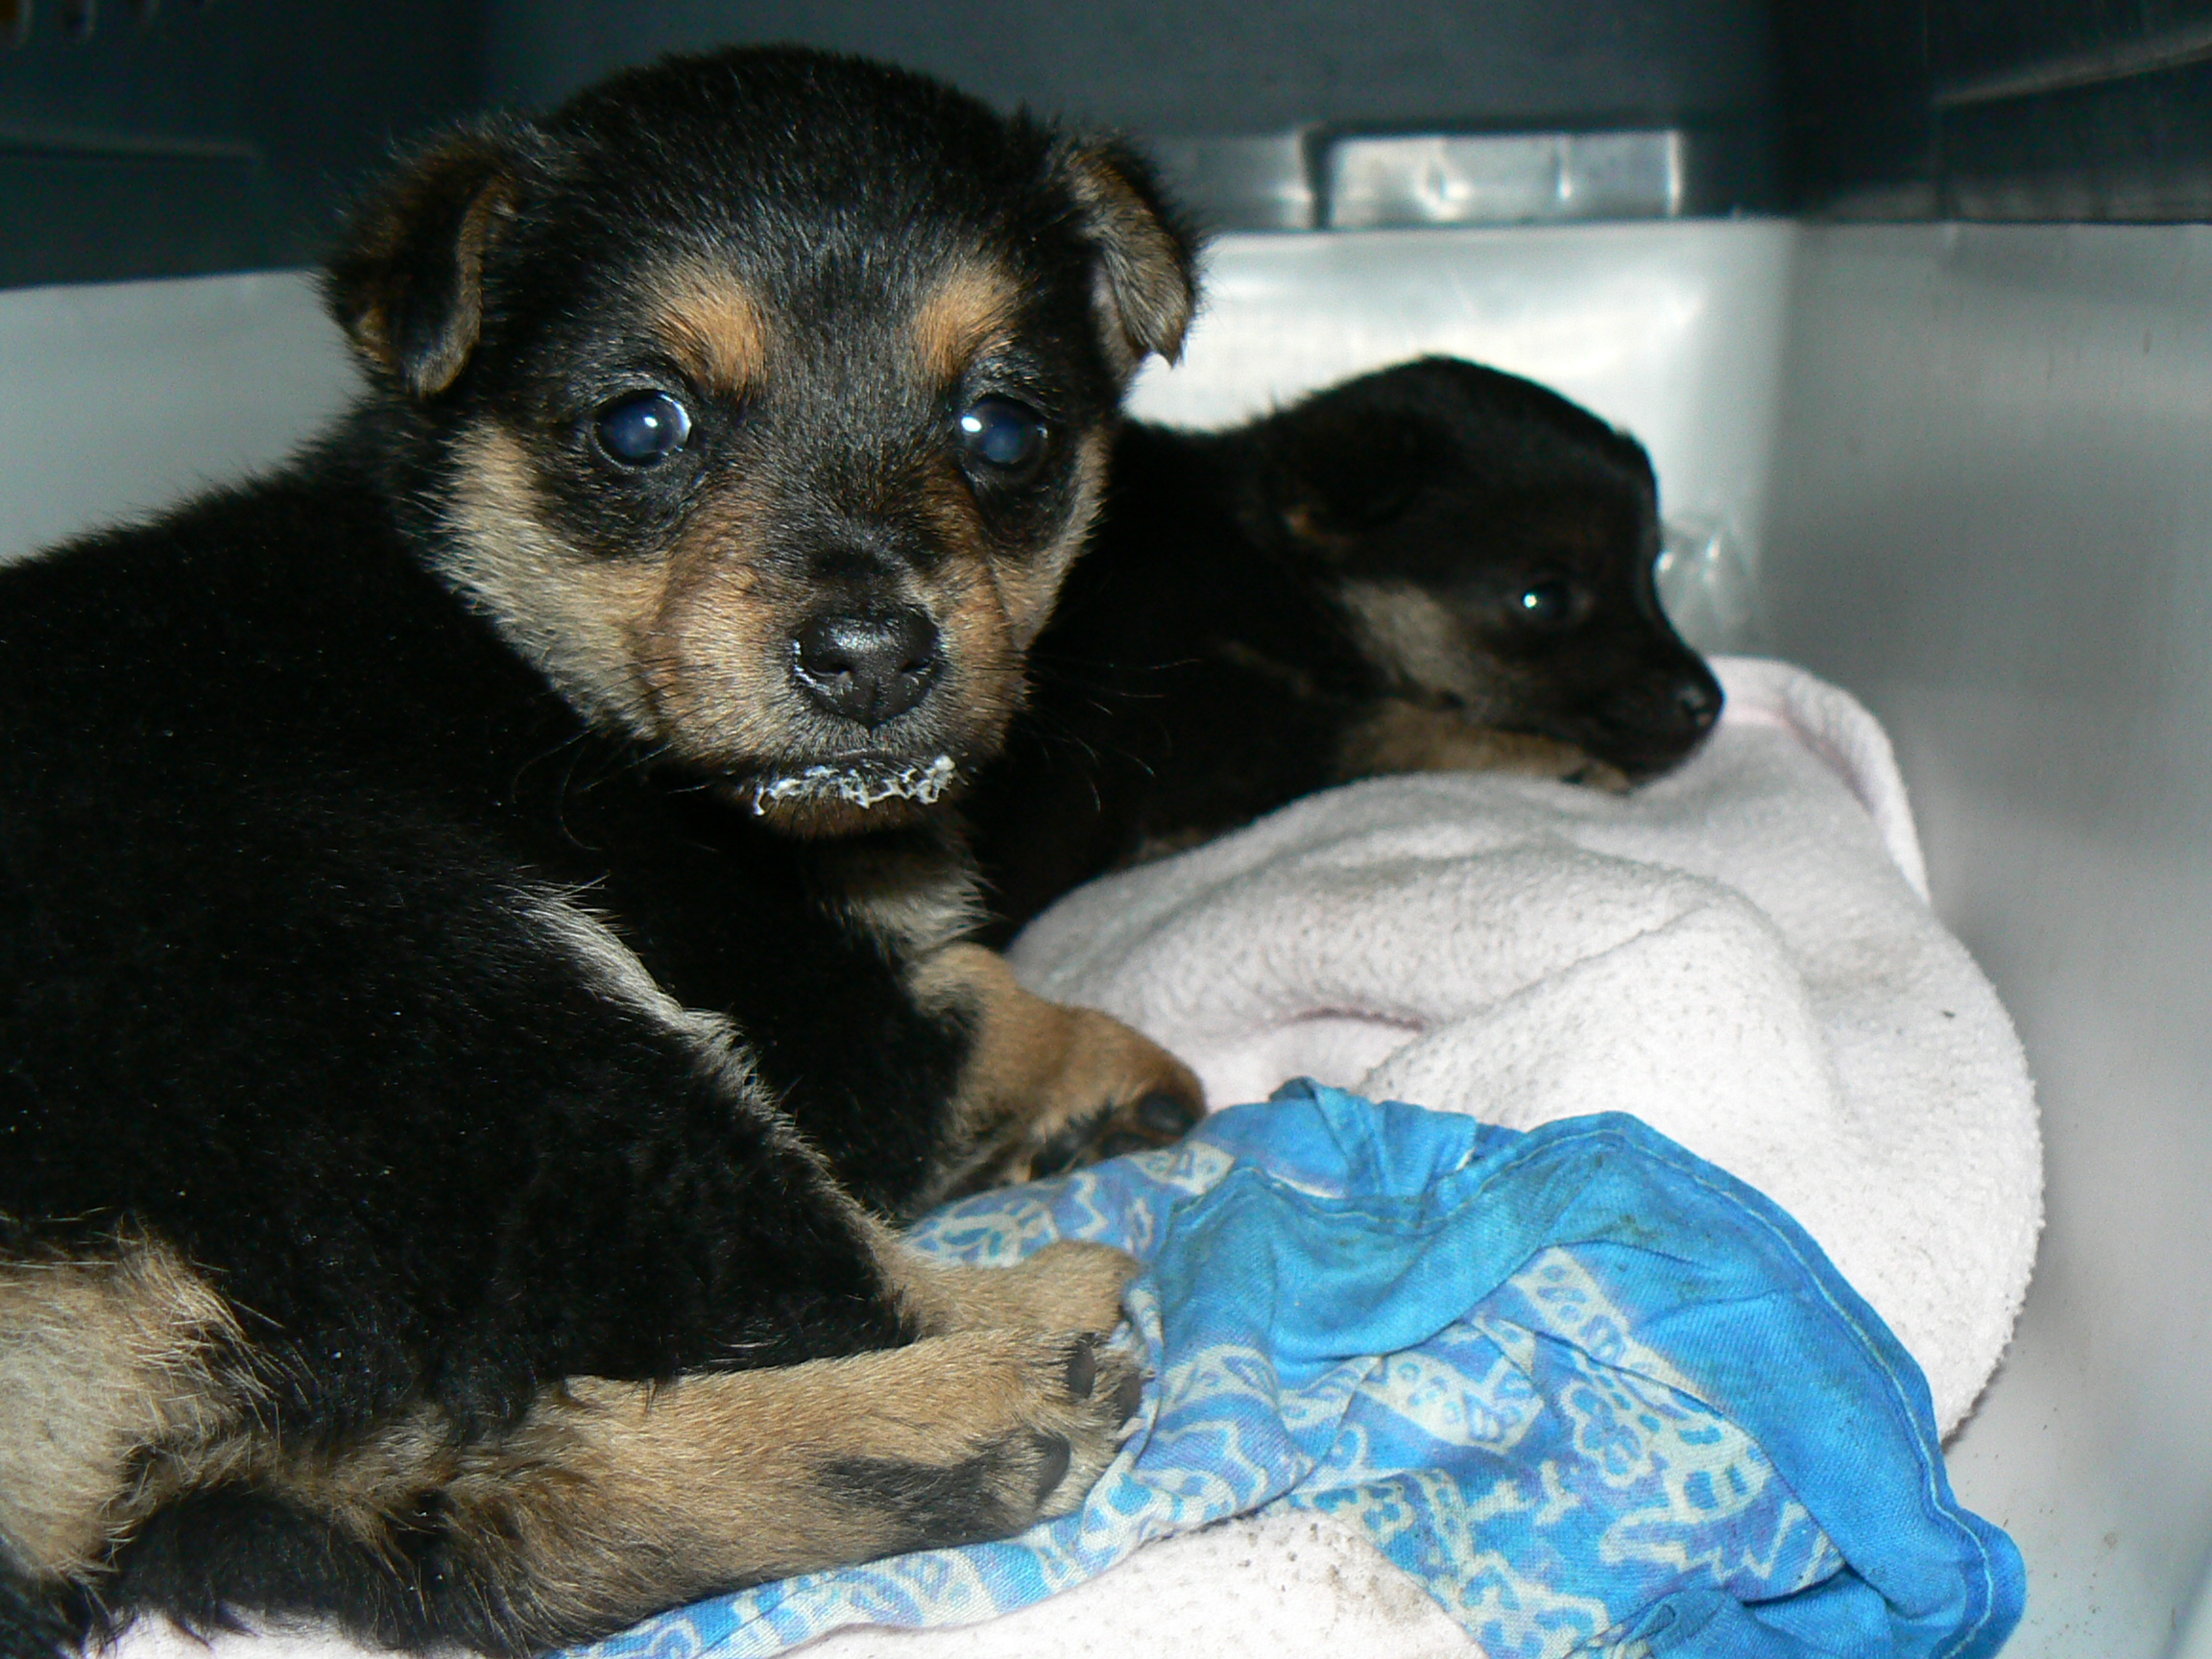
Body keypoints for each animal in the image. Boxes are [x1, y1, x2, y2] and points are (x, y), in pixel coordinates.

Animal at [0, 48, 1209, 1659]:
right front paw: (1128, 1069)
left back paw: (956, 1440)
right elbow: (993, 998)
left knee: (480, 1541)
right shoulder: (823, 1020)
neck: (511, 633)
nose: (874, 654)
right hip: (465, 1000)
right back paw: (1028, 1354)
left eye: (1003, 432)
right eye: (644, 425)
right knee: (801, 1282)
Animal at [965, 356, 1725, 940]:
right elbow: (1398, 728)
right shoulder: (1224, 741)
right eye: (1544, 599)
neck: (1271, 576)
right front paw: (1562, 763)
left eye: (1651, 573)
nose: (1710, 703)